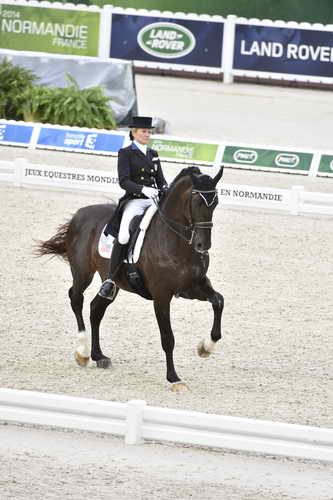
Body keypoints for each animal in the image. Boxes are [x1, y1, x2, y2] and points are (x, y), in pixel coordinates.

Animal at [35, 166, 223, 392]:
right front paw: (174, 378)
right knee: (76, 299)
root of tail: (79, 214)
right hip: (82, 273)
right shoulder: (161, 296)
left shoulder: (192, 287)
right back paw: (83, 352)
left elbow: (219, 302)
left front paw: (206, 347)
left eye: (216, 202)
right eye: (196, 202)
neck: (176, 241)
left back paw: (99, 356)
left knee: (96, 308)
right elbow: (167, 338)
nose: (203, 246)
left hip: (112, 282)